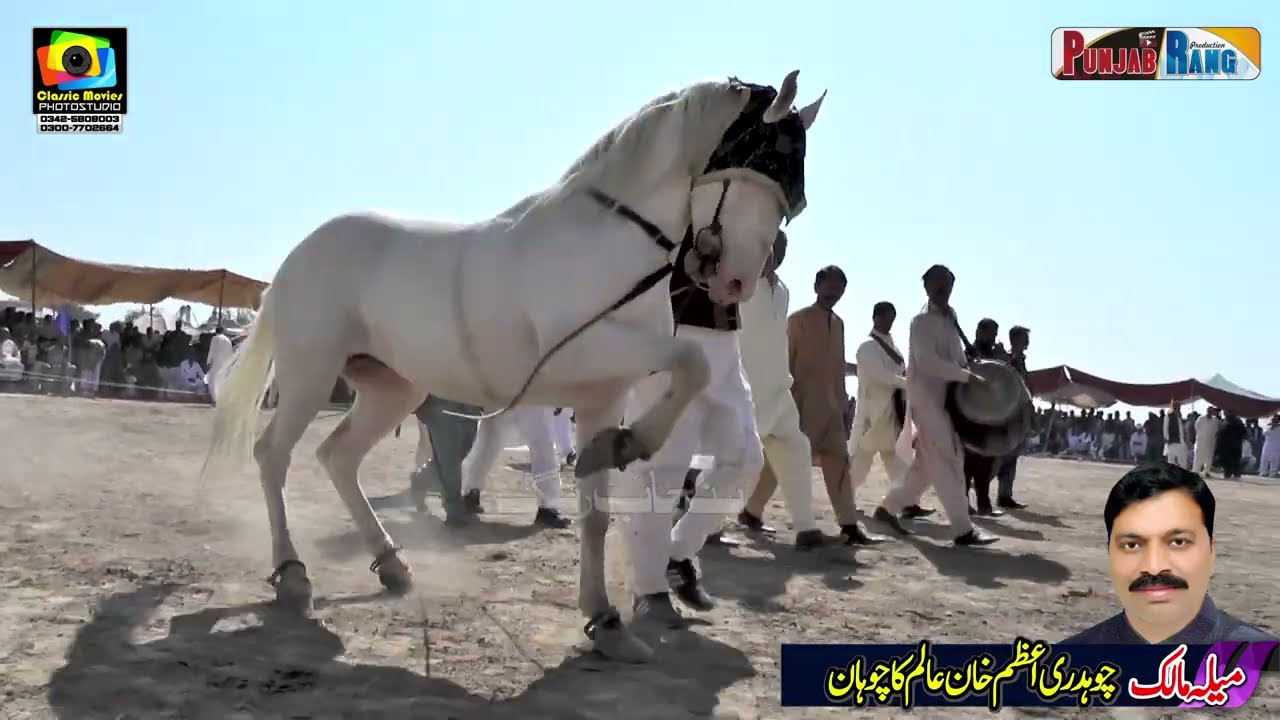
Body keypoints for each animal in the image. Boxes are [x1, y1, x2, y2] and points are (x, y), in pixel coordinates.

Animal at [199, 70, 825, 661]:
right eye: (761, 163)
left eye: (792, 200)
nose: (736, 282)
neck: (610, 242)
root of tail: (298, 254)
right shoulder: (587, 352)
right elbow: (692, 360)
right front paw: (635, 443)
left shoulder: (603, 395)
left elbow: (597, 512)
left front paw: (606, 621)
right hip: (310, 373)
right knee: (272, 455)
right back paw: (292, 575)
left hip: (392, 388)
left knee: (338, 456)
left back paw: (392, 564)